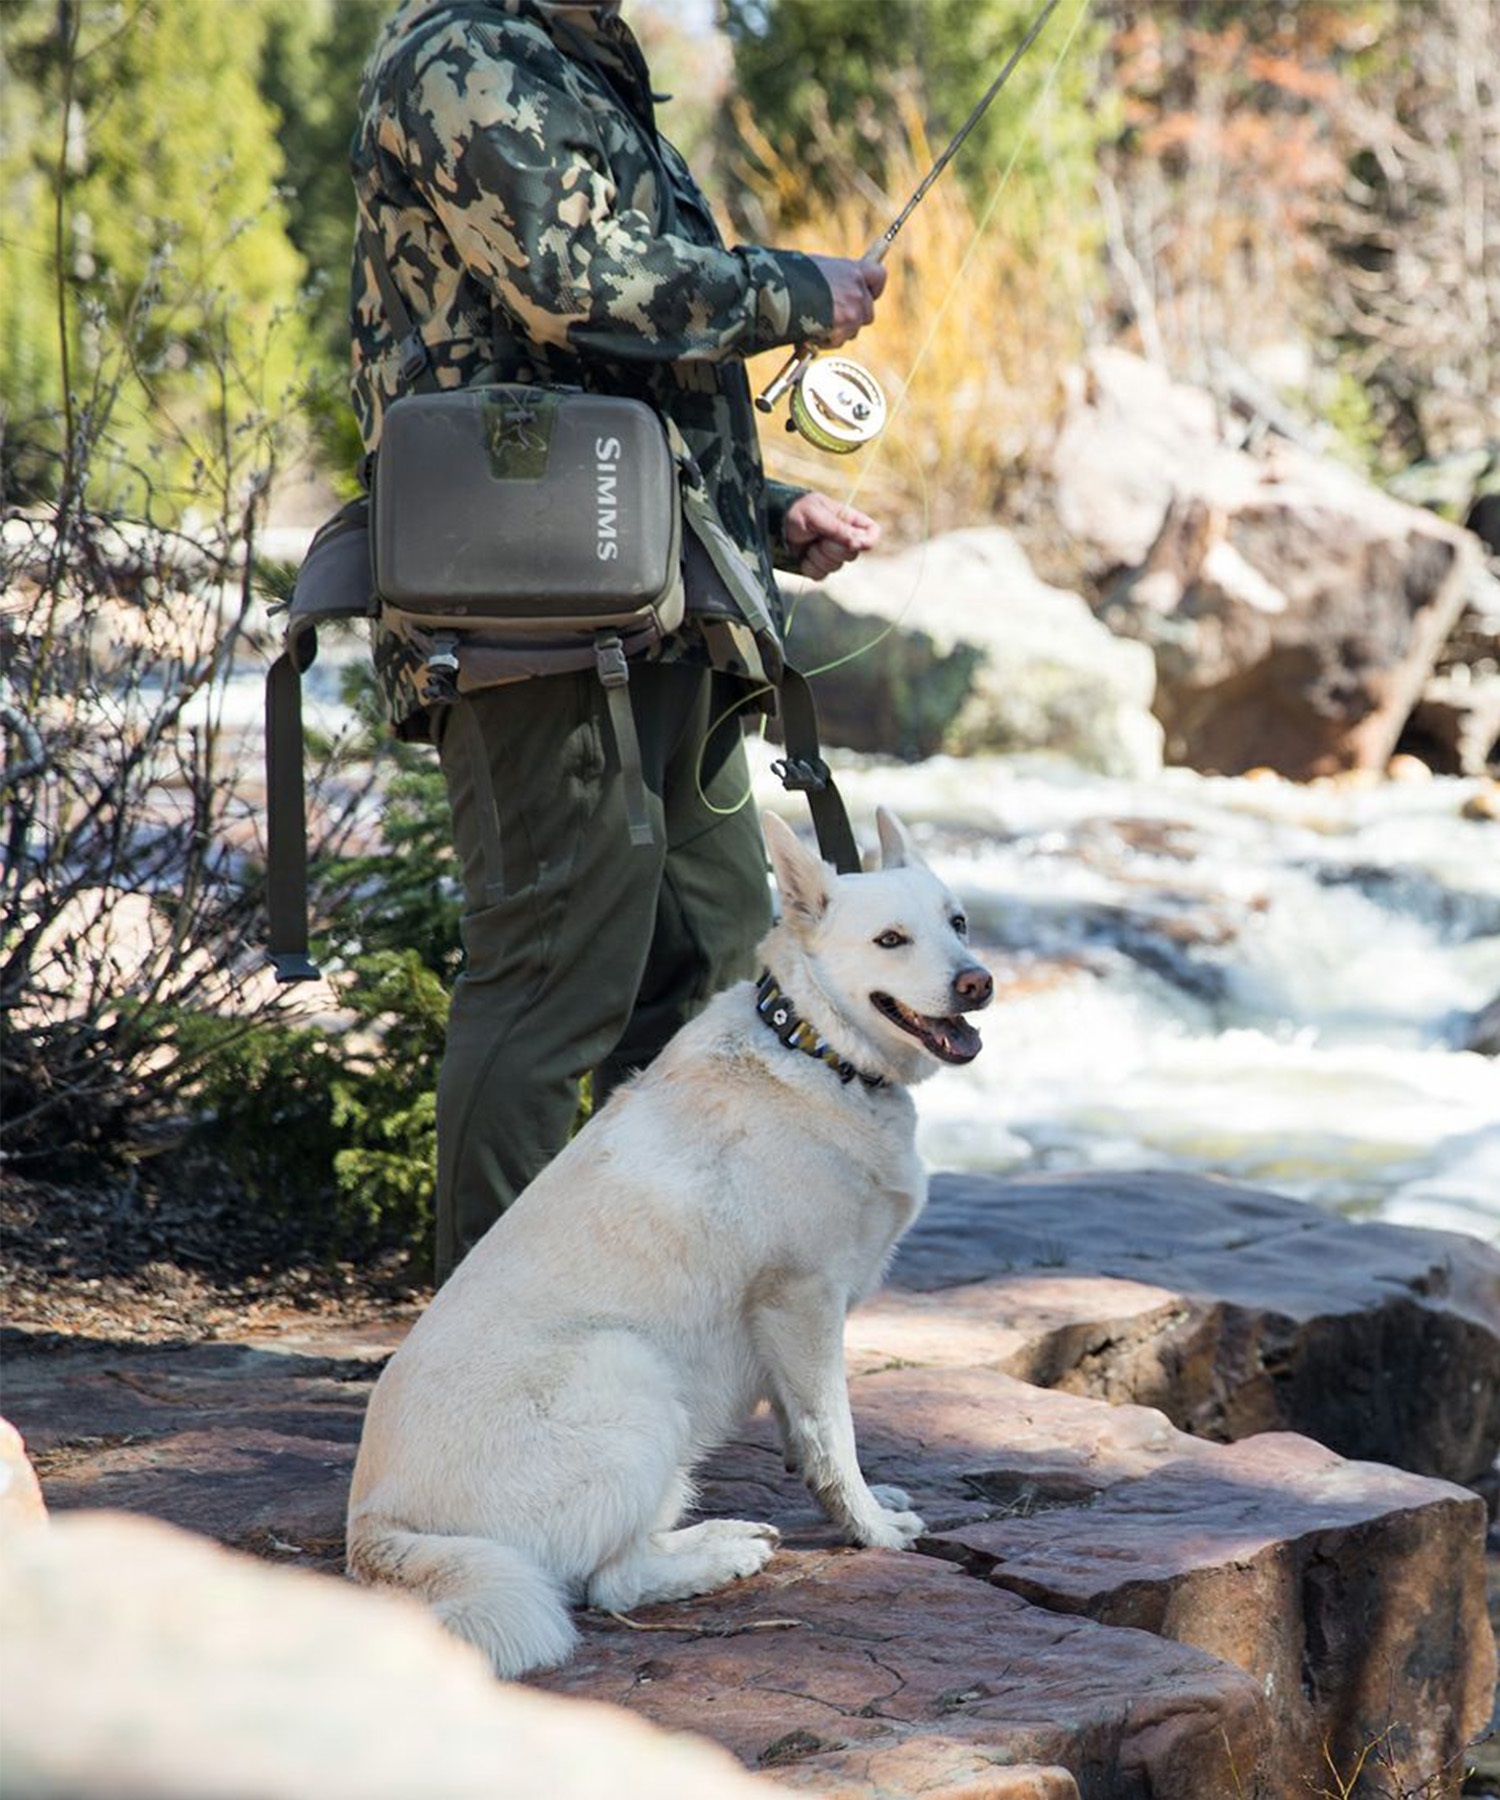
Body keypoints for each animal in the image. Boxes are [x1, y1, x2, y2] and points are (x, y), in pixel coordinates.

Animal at [345, 810, 986, 1677]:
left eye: (957, 923)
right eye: (891, 940)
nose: (978, 982)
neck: (811, 1048)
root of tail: (373, 1529)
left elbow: (806, 1437)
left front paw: (858, 1504)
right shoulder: (802, 1300)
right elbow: (834, 1432)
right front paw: (871, 1530)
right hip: (633, 1372)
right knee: (609, 1583)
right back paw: (722, 1554)